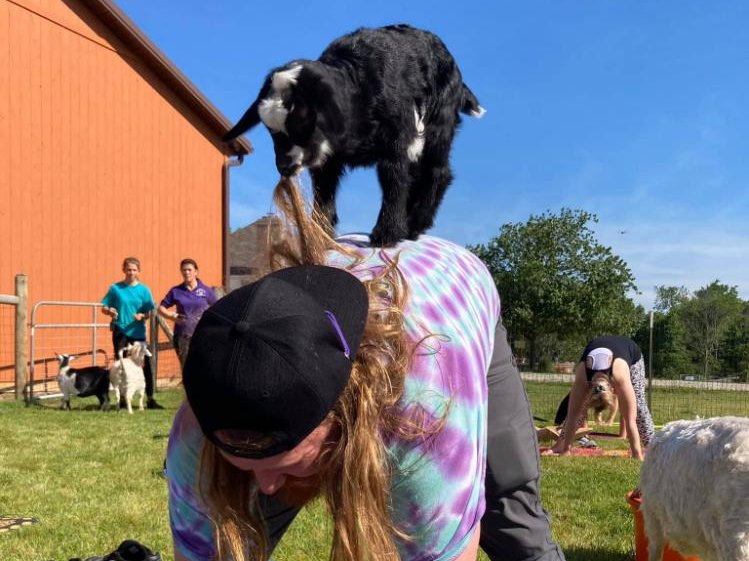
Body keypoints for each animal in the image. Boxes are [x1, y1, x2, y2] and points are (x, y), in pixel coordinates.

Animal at [223, 24, 484, 246]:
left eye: (301, 122)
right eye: (271, 131)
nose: (284, 167)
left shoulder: (397, 139)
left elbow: (394, 181)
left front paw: (385, 235)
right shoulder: (327, 160)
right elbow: (324, 193)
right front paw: (320, 236)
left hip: (439, 121)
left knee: (437, 171)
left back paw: (413, 225)